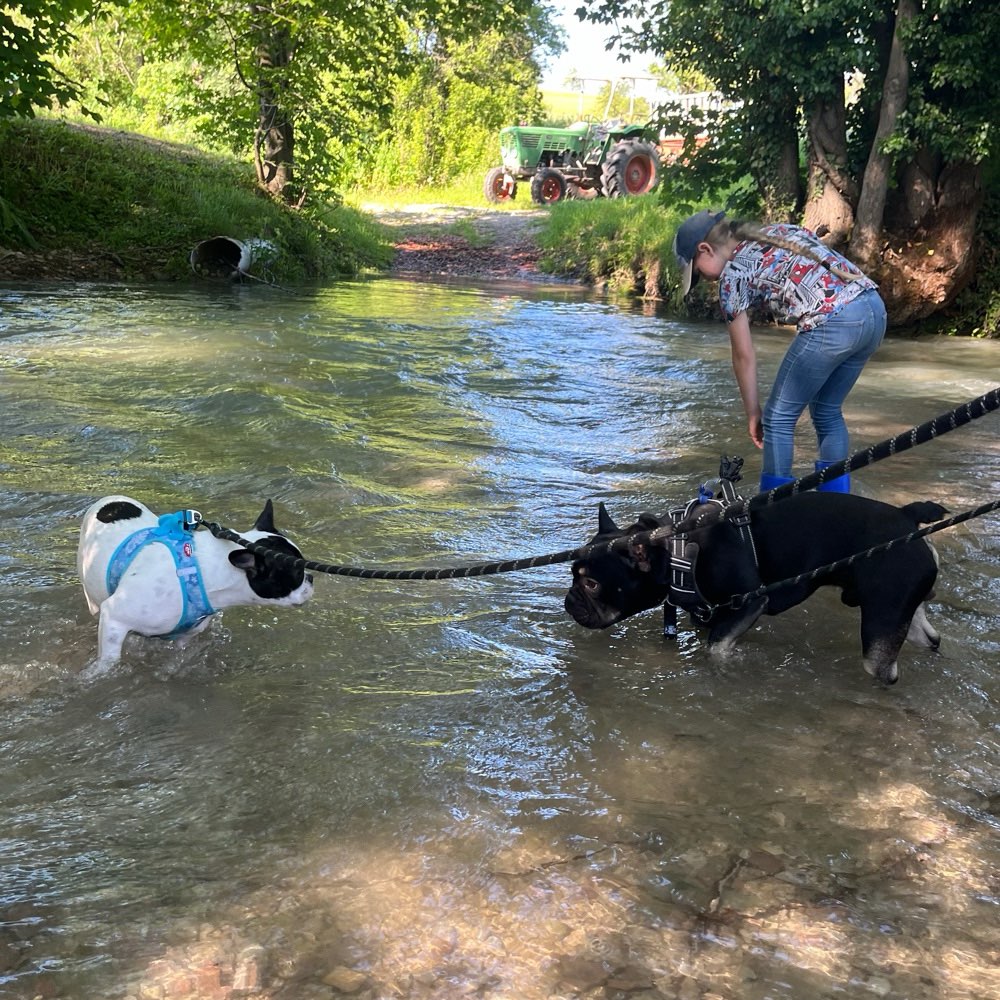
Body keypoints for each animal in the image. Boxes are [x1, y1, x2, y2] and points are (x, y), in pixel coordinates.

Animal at [77, 494, 312, 672]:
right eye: (297, 572)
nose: (311, 577)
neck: (204, 572)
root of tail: (110, 500)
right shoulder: (114, 616)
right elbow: (109, 660)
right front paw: (101, 674)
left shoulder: (186, 634)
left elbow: (178, 655)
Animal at [568, 494, 948, 688]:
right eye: (572, 574)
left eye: (591, 583)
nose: (569, 600)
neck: (676, 550)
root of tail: (907, 516)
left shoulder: (750, 602)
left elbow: (716, 646)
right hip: (901, 609)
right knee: (930, 639)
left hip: (882, 618)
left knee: (885, 668)